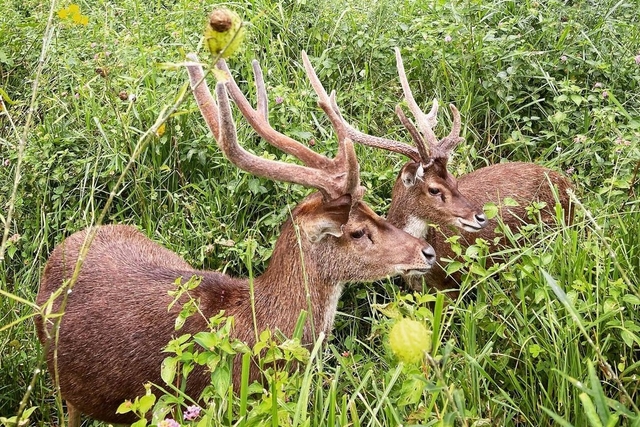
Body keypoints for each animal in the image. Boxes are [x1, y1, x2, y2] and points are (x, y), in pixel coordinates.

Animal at [35, 53, 436, 427]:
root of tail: (67, 244)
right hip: (64, 383)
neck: (256, 329)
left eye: (375, 210)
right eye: (356, 231)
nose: (428, 251)